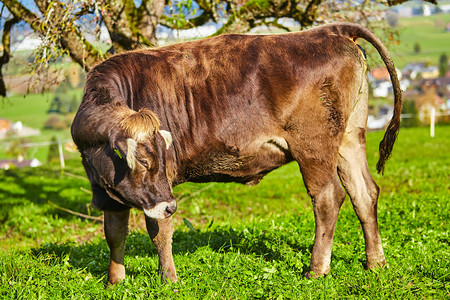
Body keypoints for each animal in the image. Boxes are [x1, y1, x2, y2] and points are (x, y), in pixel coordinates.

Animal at [72, 22, 402, 284]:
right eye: (142, 160)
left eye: (159, 159)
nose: (171, 205)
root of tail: (329, 30)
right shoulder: (107, 193)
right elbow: (114, 234)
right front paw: (115, 281)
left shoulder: (159, 192)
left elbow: (160, 231)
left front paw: (168, 279)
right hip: (350, 138)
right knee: (364, 193)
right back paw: (376, 262)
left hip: (314, 146)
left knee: (328, 198)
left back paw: (317, 269)